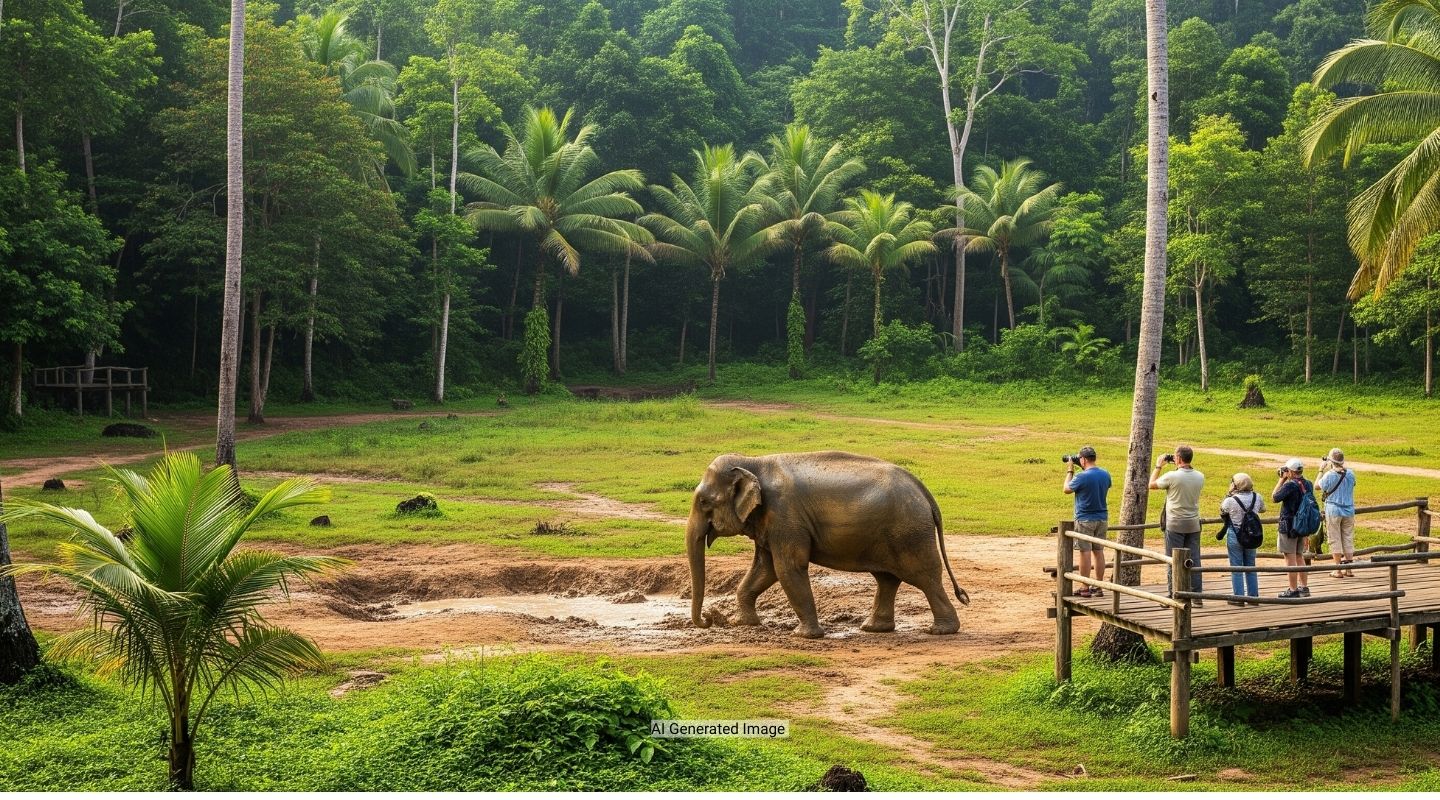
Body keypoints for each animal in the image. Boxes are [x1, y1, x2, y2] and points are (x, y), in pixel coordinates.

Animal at [686, 451, 969, 638]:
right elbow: (764, 569)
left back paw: (940, 630)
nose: (710, 619)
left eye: (703, 502)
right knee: (887, 579)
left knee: (924, 577)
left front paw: (803, 636)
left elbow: (788, 567)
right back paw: (874, 628)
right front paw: (743, 623)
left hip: (910, 533)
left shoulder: (785, 516)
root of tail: (924, 492)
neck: (753, 462)